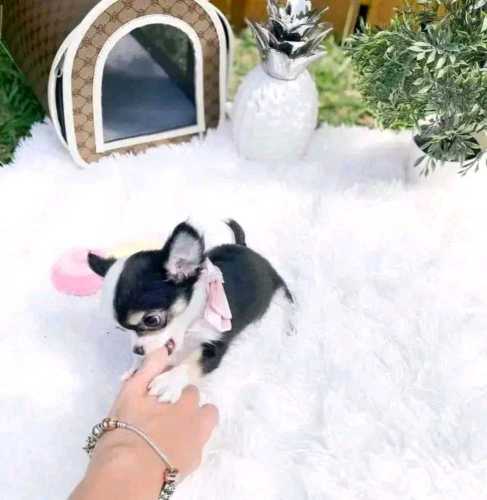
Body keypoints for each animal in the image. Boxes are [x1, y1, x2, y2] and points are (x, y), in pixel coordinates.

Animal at [88, 220, 292, 403]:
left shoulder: (215, 343)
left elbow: (194, 361)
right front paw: (136, 367)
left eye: (152, 320)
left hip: (280, 291)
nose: (137, 350)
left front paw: (169, 382)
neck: (191, 325)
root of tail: (244, 246)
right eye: (121, 329)